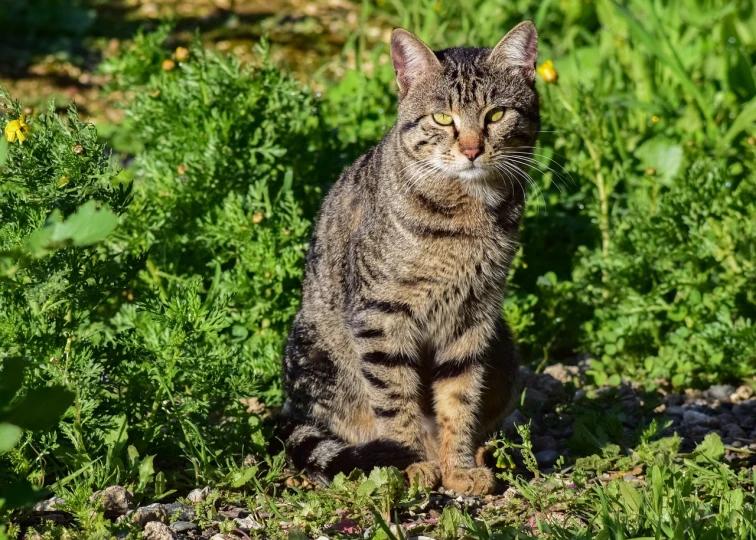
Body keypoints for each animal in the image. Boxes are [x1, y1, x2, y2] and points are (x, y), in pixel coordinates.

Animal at [280, 21, 540, 496]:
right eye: (442, 118)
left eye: (495, 115)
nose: (472, 149)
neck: (467, 215)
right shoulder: (382, 317)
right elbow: (394, 398)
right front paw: (413, 463)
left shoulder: (474, 317)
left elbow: (460, 398)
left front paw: (457, 467)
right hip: (313, 352)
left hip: (505, 352)